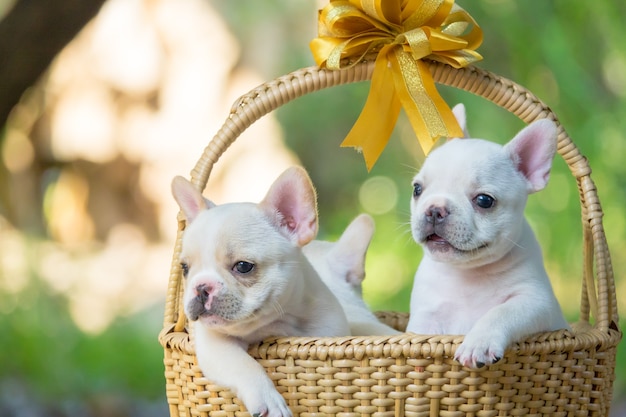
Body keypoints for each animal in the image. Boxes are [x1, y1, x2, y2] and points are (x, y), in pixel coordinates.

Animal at [171, 167, 348, 416]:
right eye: (184, 268)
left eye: (243, 266)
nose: (202, 287)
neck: (273, 323)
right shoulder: (214, 343)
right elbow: (242, 363)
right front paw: (269, 401)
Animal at [404, 104, 572, 368]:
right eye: (417, 189)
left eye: (484, 200)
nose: (435, 209)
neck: (468, 274)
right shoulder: (425, 316)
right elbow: (420, 335)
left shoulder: (535, 300)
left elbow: (500, 312)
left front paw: (477, 344)